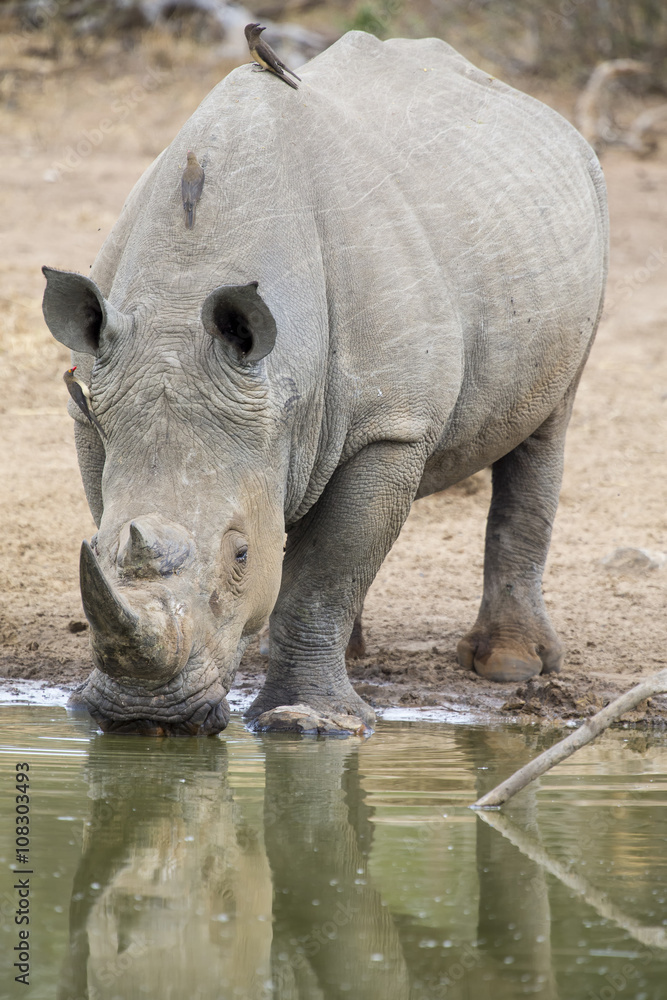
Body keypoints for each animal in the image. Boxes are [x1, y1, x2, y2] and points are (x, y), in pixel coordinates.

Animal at [42, 31, 608, 736]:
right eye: (90, 547)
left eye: (240, 557)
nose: (146, 716)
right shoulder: (93, 410)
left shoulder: (390, 430)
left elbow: (327, 573)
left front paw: (306, 719)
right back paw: (355, 653)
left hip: (582, 214)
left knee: (546, 428)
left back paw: (510, 666)